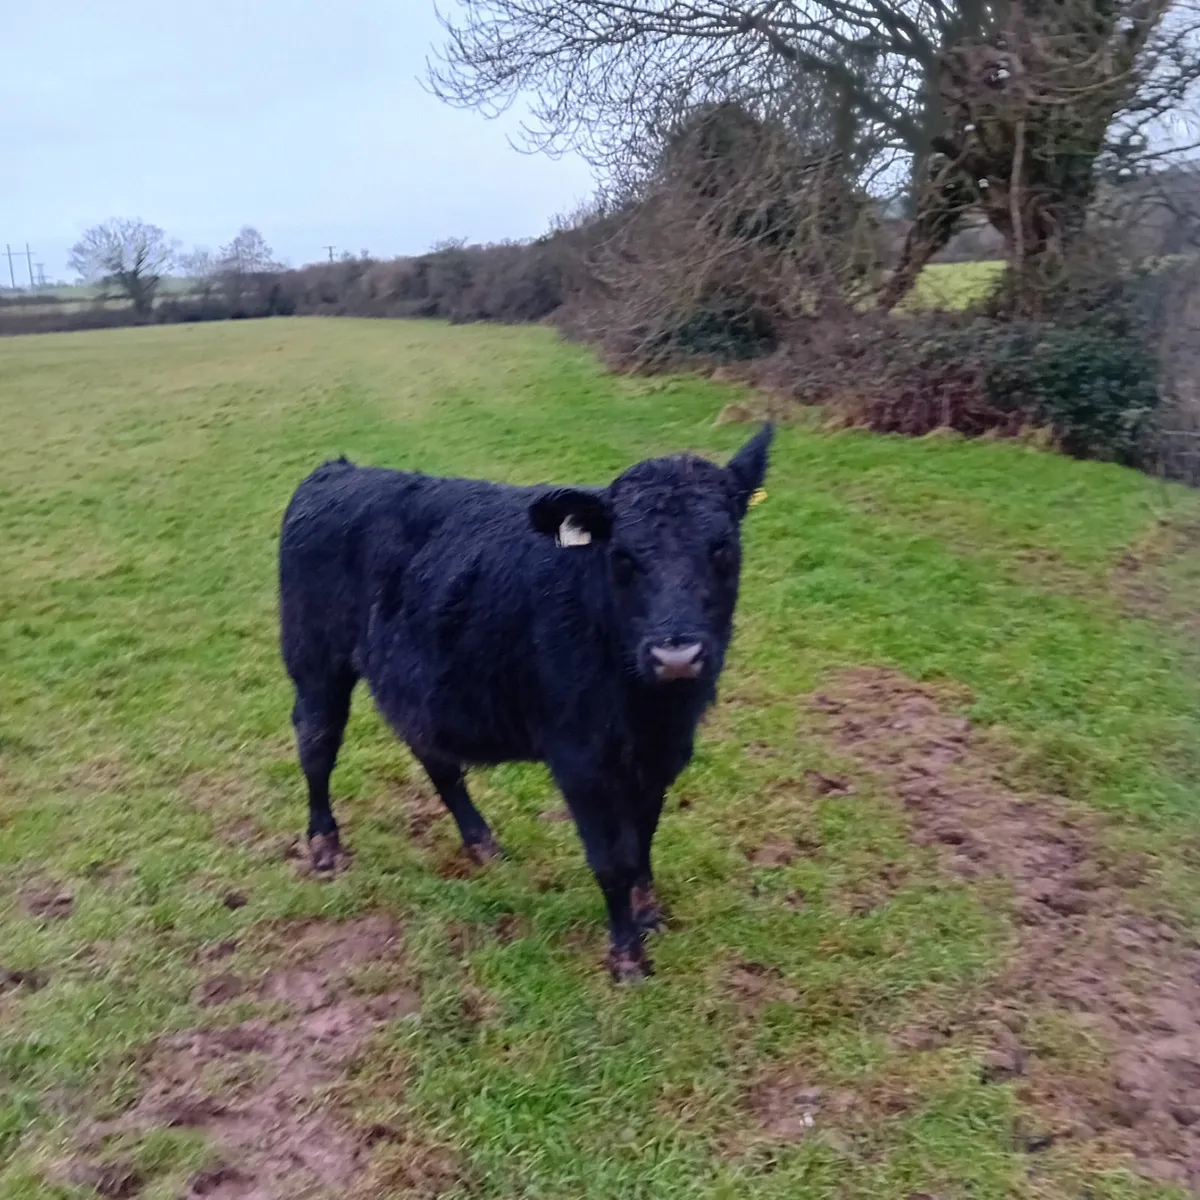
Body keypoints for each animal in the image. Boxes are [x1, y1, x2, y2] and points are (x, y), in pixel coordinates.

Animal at [278, 424, 773, 980]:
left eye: (722, 549)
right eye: (623, 558)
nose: (676, 656)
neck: (649, 709)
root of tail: (337, 471)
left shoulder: (661, 754)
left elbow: (643, 839)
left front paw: (647, 912)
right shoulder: (579, 759)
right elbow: (611, 859)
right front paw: (626, 954)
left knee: (434, 756)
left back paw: (481, 843)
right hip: (315, 661)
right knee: (316, 743)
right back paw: (324, 844)